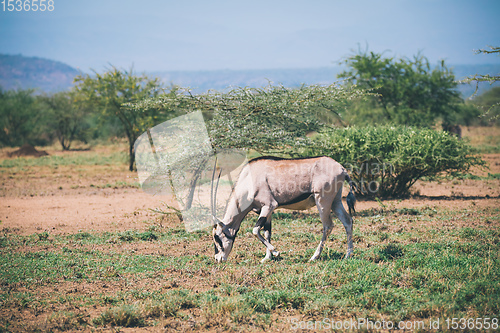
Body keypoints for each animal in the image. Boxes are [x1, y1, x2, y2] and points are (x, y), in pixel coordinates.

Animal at [211, 155, 356, 262]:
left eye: (217, 237)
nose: (218, 259)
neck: (248, 180)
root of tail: (341, 168)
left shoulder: (269, 205)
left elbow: (255, 230)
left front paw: (276, 252)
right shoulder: (267, 211)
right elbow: (267, 232)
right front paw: (267, 258)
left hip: (322, 201)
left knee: (328, 226)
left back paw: (314, 257)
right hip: (336, 201)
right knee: (347, 221)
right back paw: (348, 255)